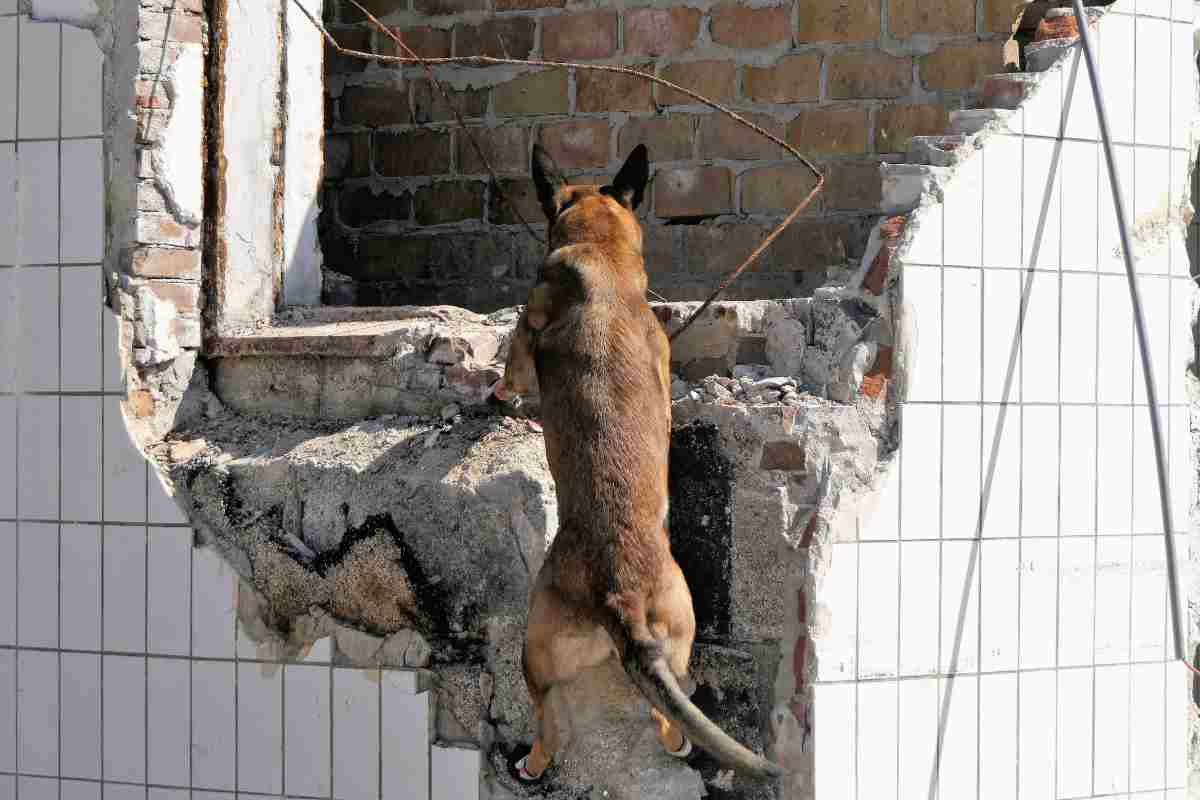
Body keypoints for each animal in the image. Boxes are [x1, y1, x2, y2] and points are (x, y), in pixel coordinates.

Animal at [492, 143, 782, 782]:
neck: (600, 251)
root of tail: (616, 592)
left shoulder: (526, 334)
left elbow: (512, 370)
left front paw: (495, 394)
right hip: (673, 636)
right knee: (667, 711)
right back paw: (681, 736)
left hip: (534, 651)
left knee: (553, 719)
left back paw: (534, 763)